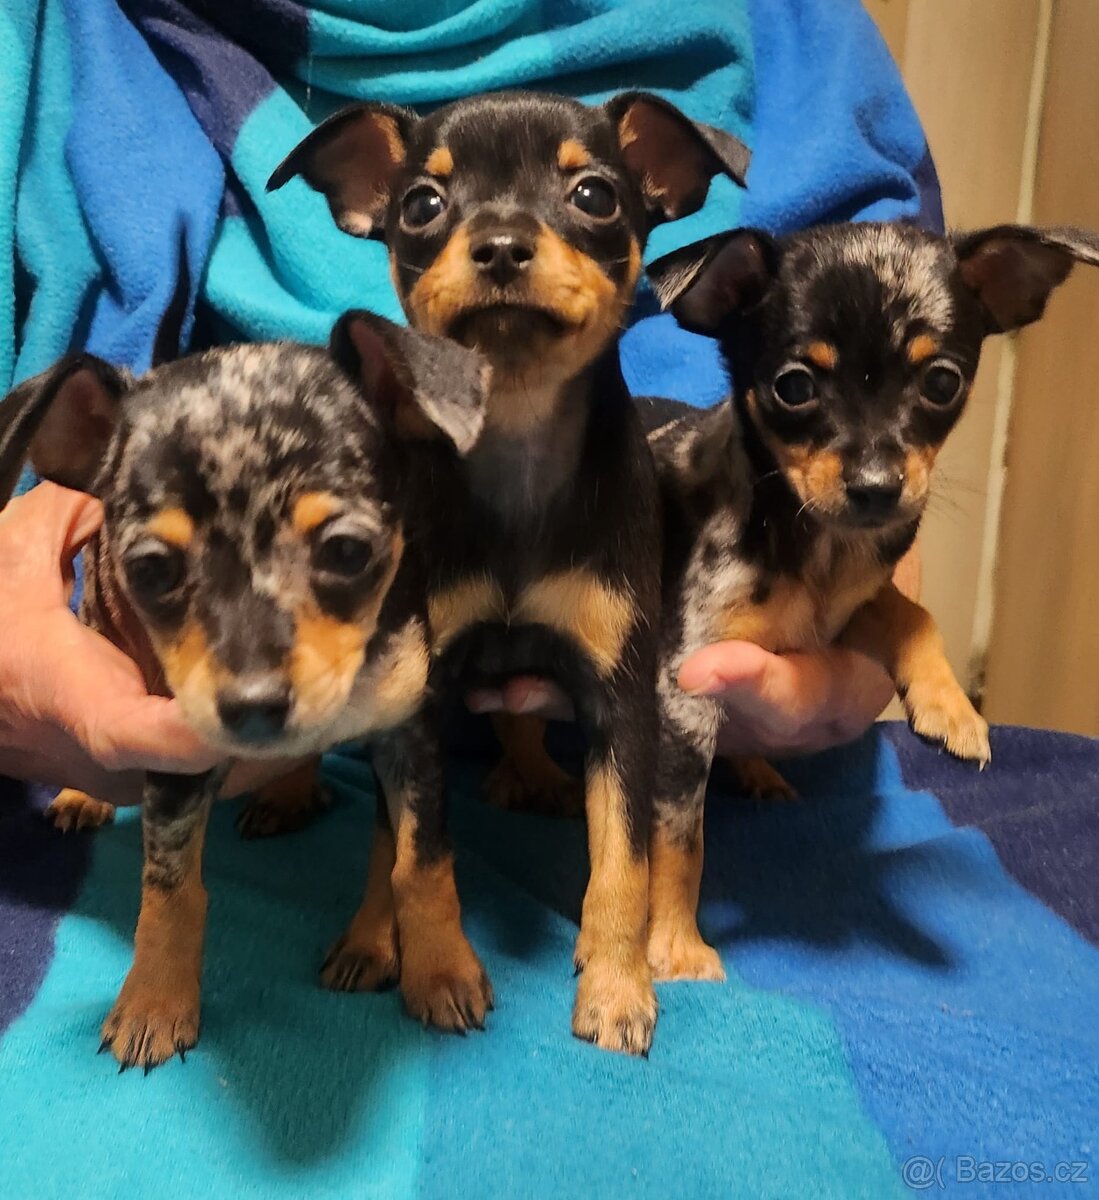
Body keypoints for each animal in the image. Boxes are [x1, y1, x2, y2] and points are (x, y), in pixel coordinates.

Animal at [0, 291, 494, 1070]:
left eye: (347, 551)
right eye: (151, 570)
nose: (254, 707)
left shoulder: (410, 732)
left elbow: (420, 860)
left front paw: (442, 967)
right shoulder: (173, 758)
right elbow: (171, 889)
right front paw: (154, 1003)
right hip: (95, 621)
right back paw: (87, 795)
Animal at [268, 90, 749, 1054]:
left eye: (595, 194)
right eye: (421, 206)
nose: (496, 244)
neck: (518, 443)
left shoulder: (621, 705)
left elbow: (624, 865)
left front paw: (617, 986)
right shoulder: (418, 703)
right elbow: (420, 853)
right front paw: (439, 970)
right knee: (386, 835)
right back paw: (371, 938)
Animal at [628, 219, 1099, 980]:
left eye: (942, 381)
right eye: (793, 387)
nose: (877, 488)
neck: (813, 548)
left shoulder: (842, 612)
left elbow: (912, 613)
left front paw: (949, 705)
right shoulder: (683, 688)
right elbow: (679, 836)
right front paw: (673, 942)